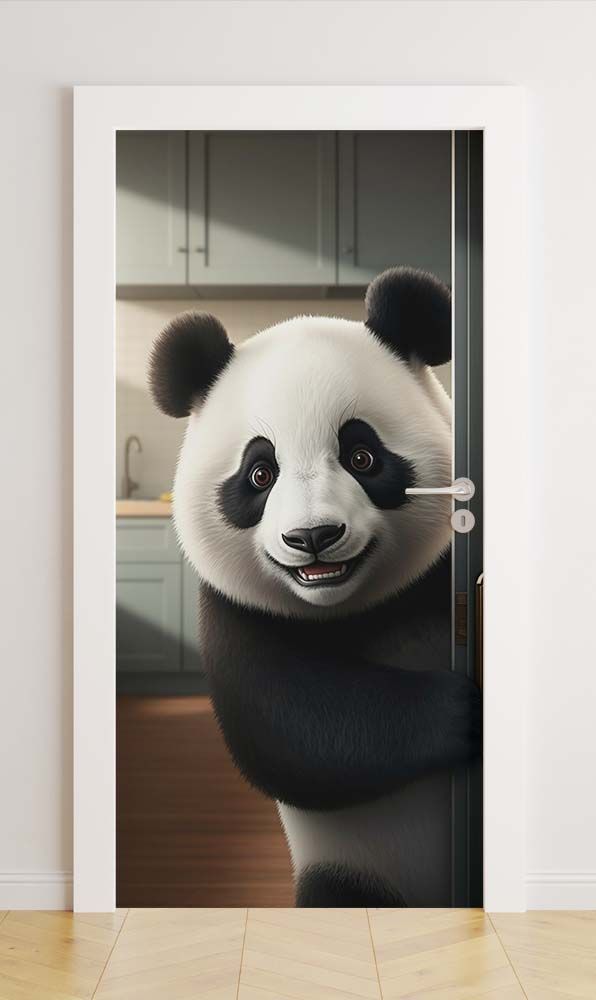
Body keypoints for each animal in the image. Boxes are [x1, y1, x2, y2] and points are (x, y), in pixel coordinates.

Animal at [149, 266, 482, 908]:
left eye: (362, 455)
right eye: (259, 473)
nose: (313, 537)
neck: (358, 610)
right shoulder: (235, 612)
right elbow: (287, 731)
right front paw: (456, 711)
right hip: (353, 871)